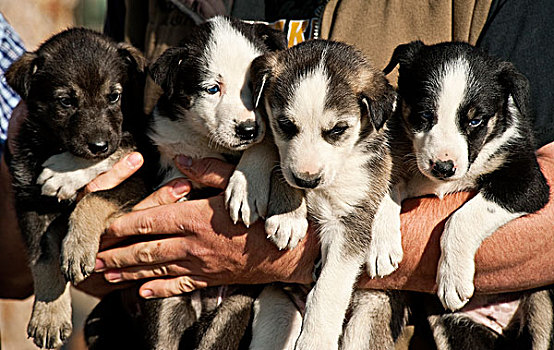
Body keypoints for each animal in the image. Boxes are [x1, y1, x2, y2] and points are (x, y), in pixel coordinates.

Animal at [4, 28, 147, 348]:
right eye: (66, 101)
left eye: (114, 96)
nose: (99, 145)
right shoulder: (30, 203)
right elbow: (42, 258)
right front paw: (48, 316)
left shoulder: (139, 172)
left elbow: (94, 196)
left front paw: (77, 246)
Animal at [250, 39, 396, 348]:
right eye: (285, 125)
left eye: (338, 129)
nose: (307, 179)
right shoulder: (286, 159)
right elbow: (280, 164)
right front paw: (288, 217)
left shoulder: (351, 220)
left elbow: (328, 289)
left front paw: (315, 339)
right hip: (275, 306)